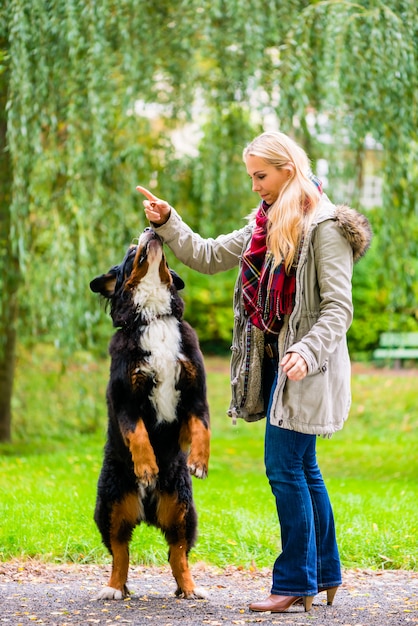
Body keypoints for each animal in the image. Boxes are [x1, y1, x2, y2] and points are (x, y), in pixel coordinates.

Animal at [90, 227, 211, 596]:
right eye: (132, 251)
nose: (150, 229)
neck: (155, 319)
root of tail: (146, 510)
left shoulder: (195, 395)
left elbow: (202, 428)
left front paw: (200, 461)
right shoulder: (125, 399)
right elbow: (138, 433)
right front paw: (146, 467)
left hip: (183, 510)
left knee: (178, 554)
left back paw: (190, 588)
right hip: (110, 506)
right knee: (120, 552)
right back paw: (115, 588)